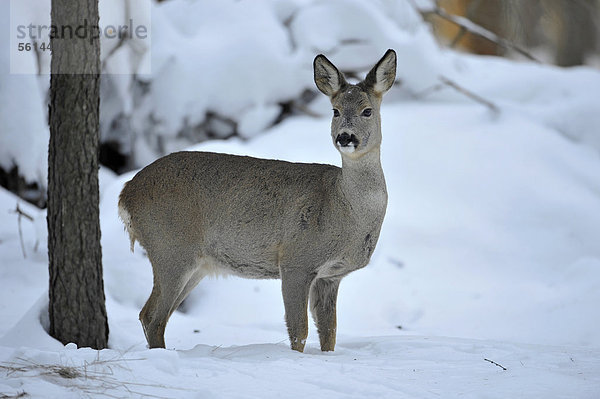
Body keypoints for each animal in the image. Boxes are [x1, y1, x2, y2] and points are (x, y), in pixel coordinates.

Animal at [119, 50, 396, 354]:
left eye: (367, 110)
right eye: (335, 110)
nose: (345, 137)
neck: (342, 208)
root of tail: (127, 193)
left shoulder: (330, 276)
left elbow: (329, 334)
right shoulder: (296, 260)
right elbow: (299, 331)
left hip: (195, 262)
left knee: (155, 315)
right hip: (170, 246)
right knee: (152, 315)